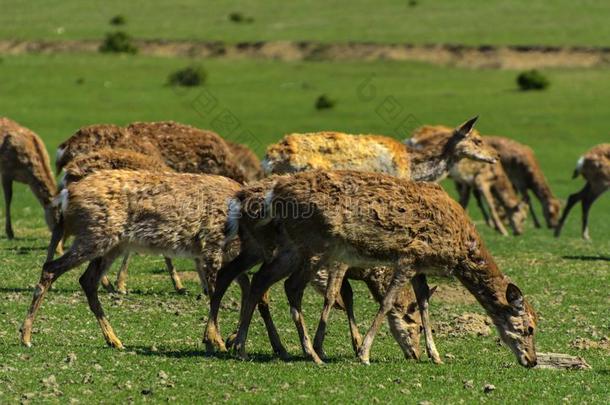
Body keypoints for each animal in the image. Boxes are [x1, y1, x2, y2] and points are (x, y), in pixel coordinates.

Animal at [209, 170, 536, 366]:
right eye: (530, 328)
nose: (532, 360)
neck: (460, 249)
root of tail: (272, 194)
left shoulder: (420, 266)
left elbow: (424, 305)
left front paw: (435, 355)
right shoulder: (408, 257)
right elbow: (388, 302)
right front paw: (364, 353)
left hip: (288, 248)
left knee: (258, 280)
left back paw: (241, 347)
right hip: (316, 245)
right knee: (288, 285)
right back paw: (308, 353)